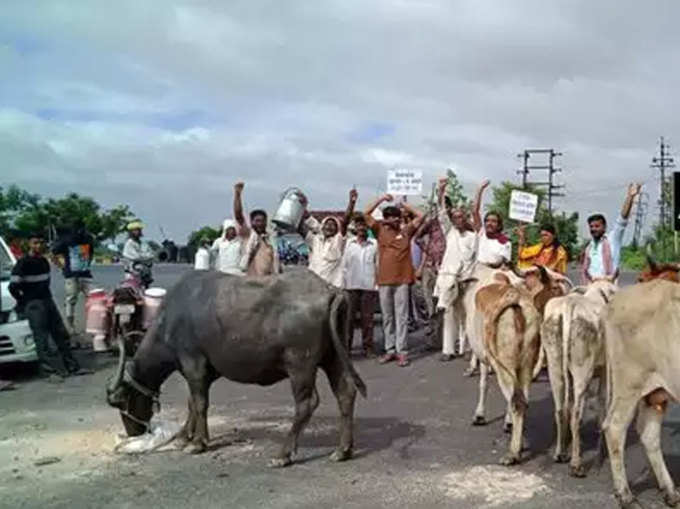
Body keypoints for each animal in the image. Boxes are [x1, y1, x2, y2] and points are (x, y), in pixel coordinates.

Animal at [107, 268, 370, 466]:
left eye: (121, 401)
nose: (134, 433)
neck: (170, 319)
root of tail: (329, 290)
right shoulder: (203, 372)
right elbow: (193, 403)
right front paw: (184, 437)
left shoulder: (193, 364)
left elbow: (200, 404)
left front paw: (197, 443)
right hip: (333, 357)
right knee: (345, 393)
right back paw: (343, 450)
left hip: (300, 364)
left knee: (307, 403)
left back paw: (283, 455)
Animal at [540, 278, 616, 476]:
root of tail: (569, 305)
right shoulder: (605, 370)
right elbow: (602, 403)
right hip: (583, 370)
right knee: (575, 414)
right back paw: (576, 464)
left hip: (555, 366)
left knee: (560, 409)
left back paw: (560, 453)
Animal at [600, 278, 680, 508]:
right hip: (629, 383)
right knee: (614, 427)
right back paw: (625, 496)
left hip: (655, 390)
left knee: (648, 434)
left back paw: (670, 492)